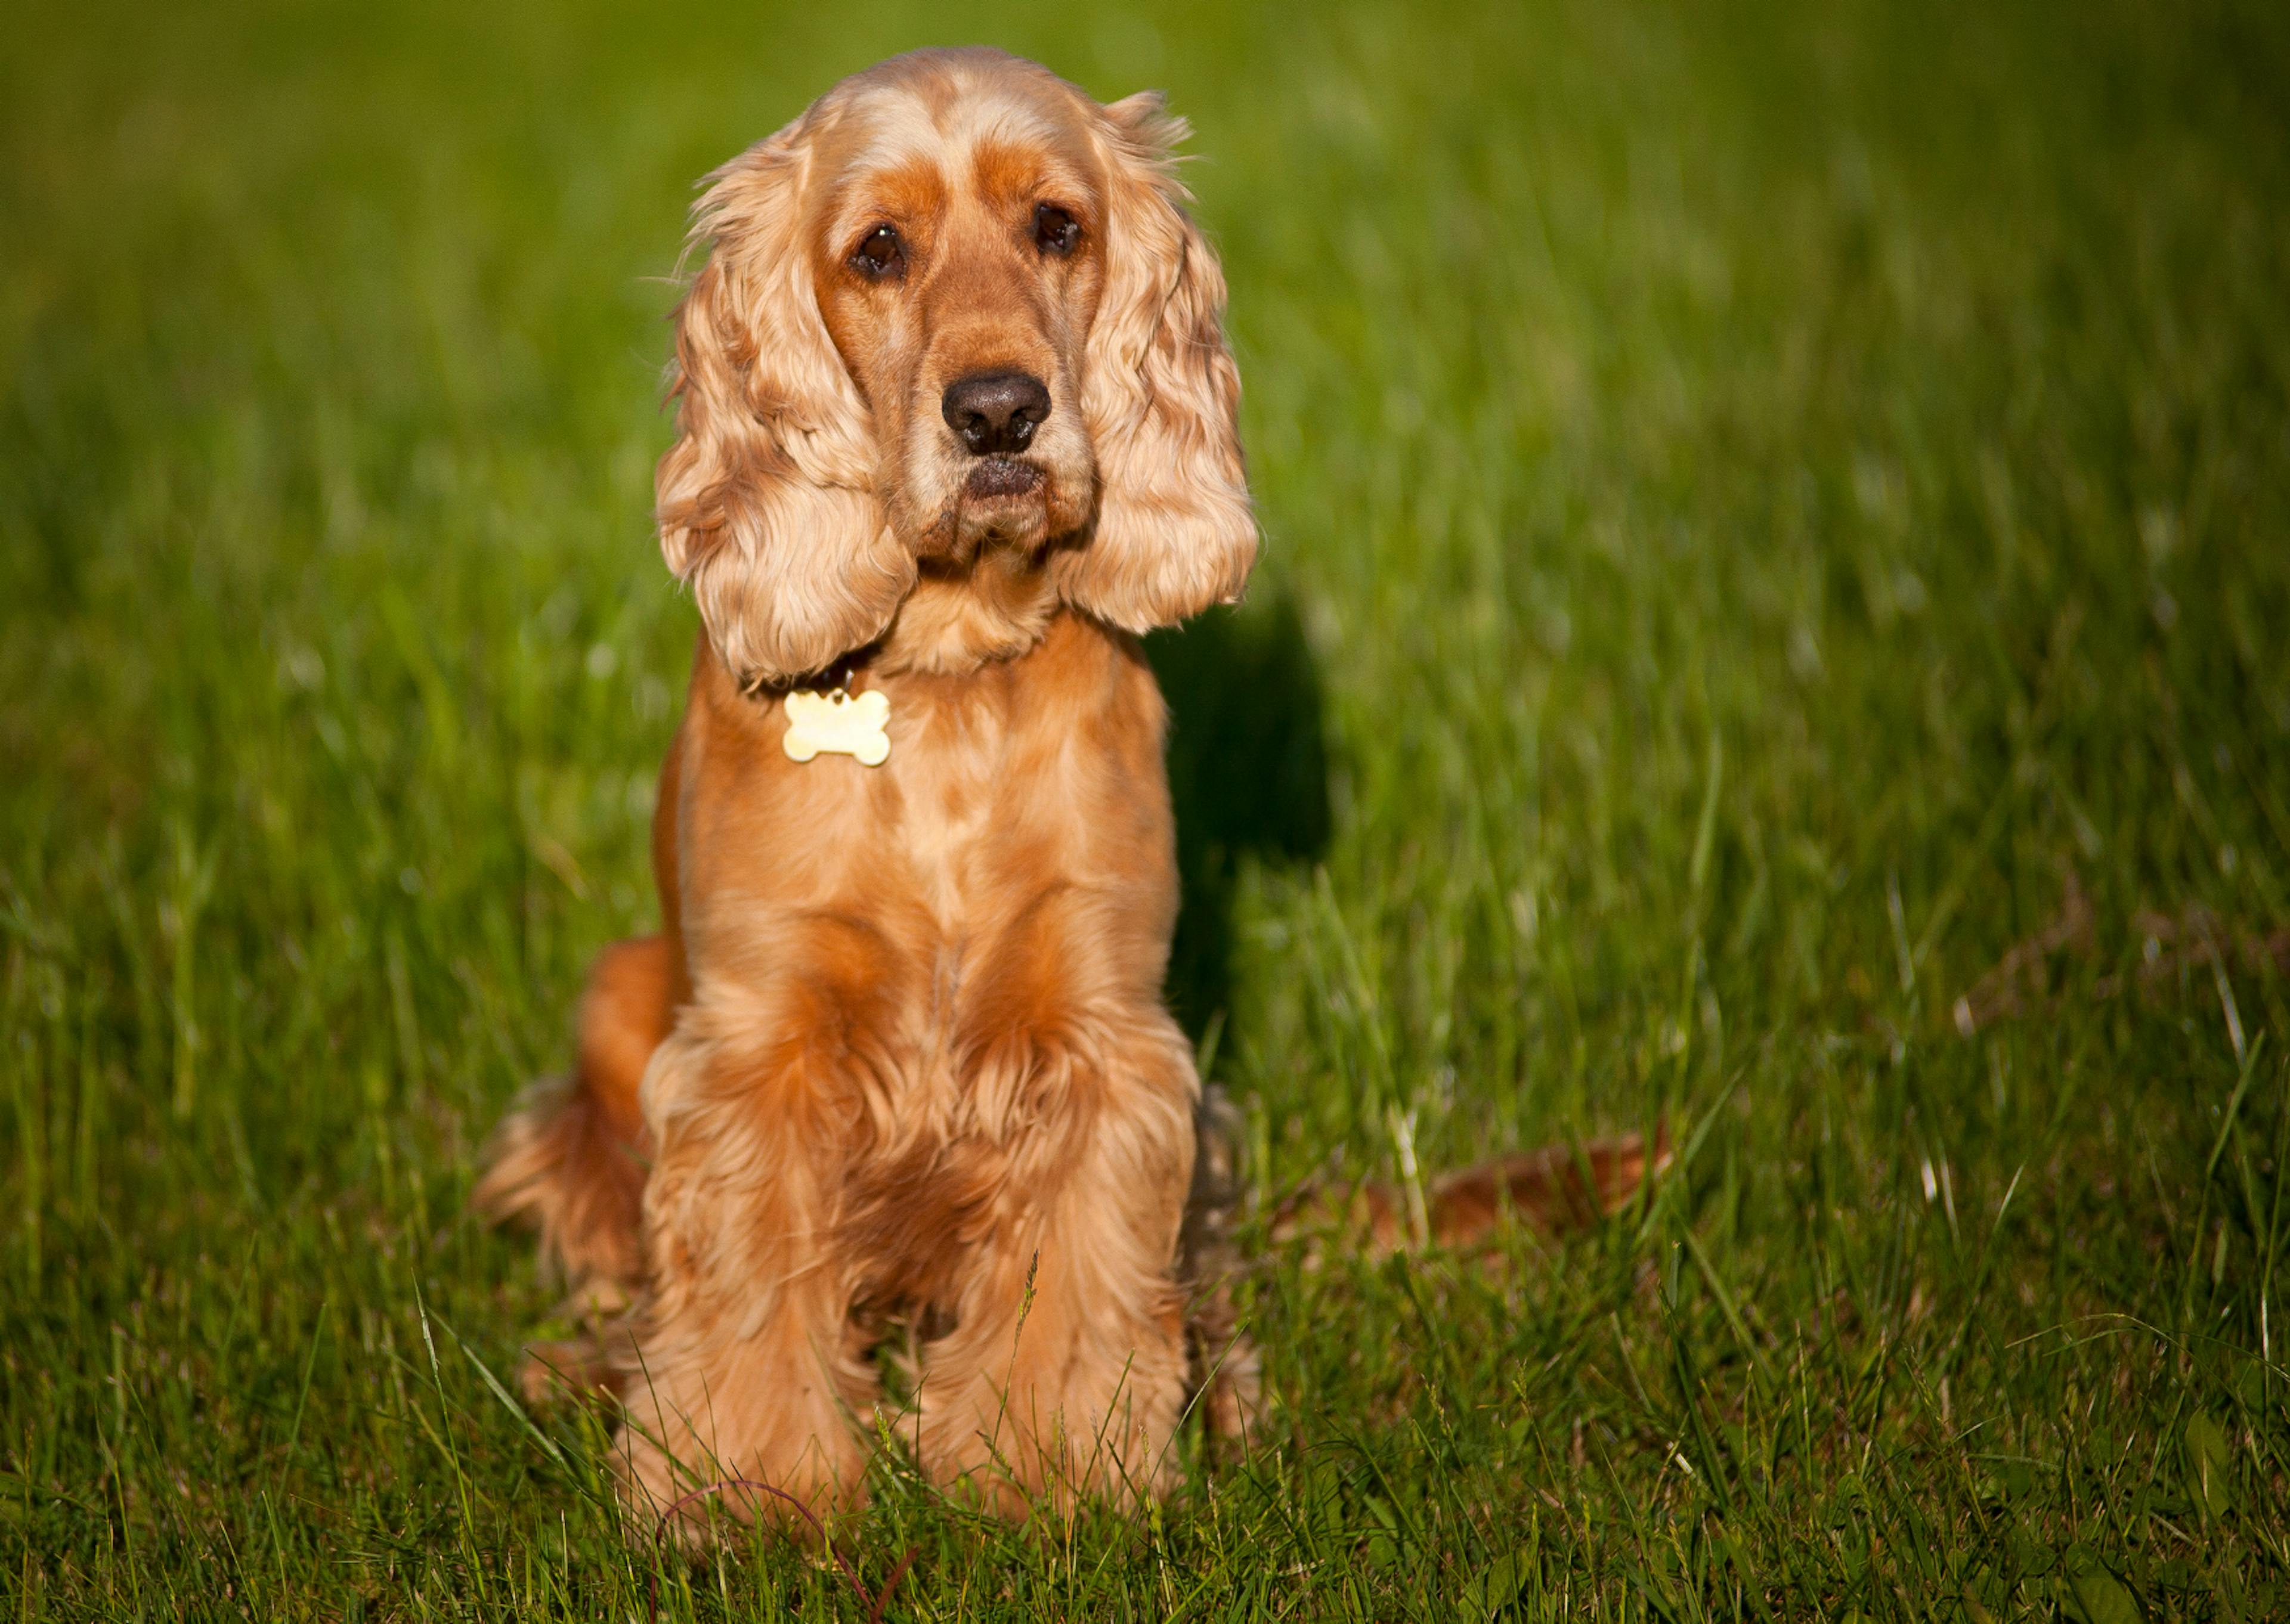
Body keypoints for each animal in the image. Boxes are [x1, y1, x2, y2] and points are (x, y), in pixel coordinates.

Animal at [478, 44, 1667, 1530]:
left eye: (1057, 226)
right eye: (878, 249)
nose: (999, 411)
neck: (948, 678)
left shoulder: (1108, 1034)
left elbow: (1079, 1280)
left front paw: (1052, 1480)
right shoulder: (756, 1038)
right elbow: (742, 1285)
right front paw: (741, 1493)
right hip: (619, 996)